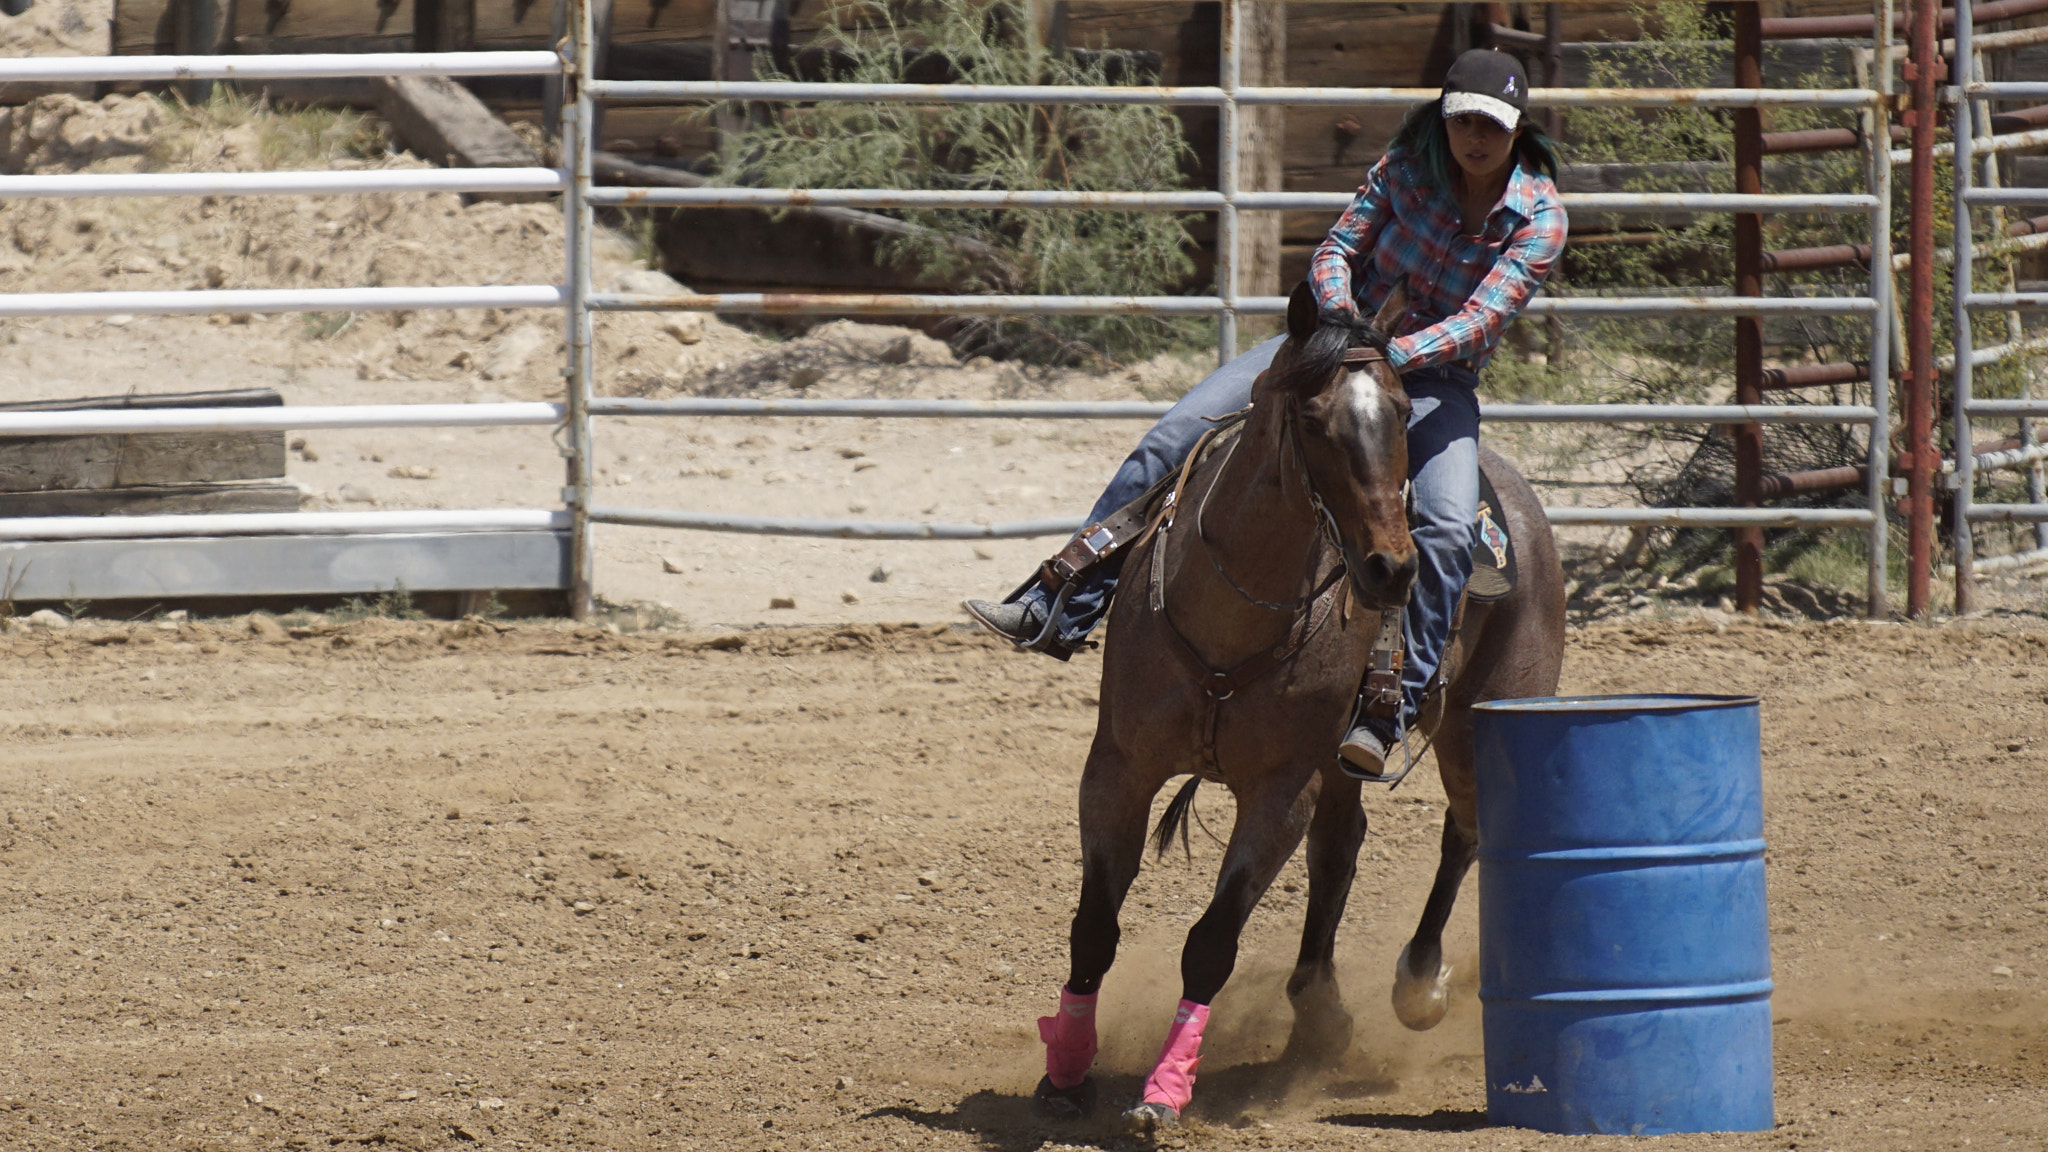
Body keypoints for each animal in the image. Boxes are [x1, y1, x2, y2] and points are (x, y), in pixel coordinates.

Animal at [1040, 284, 1564, 1123]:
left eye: (1401, 413)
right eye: (1314, 420)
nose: (1391, 570)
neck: (1228, 617)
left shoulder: (1281, 792)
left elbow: (1210, 945)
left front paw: (1163, 1094)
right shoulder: (1119, 768)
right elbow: (1093, 927)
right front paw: (1064, 1072)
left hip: (1489, 715)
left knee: (1467, 830)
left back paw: (1418, 983)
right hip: (1346, 757)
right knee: (1341, 847)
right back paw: (1317, 1007)